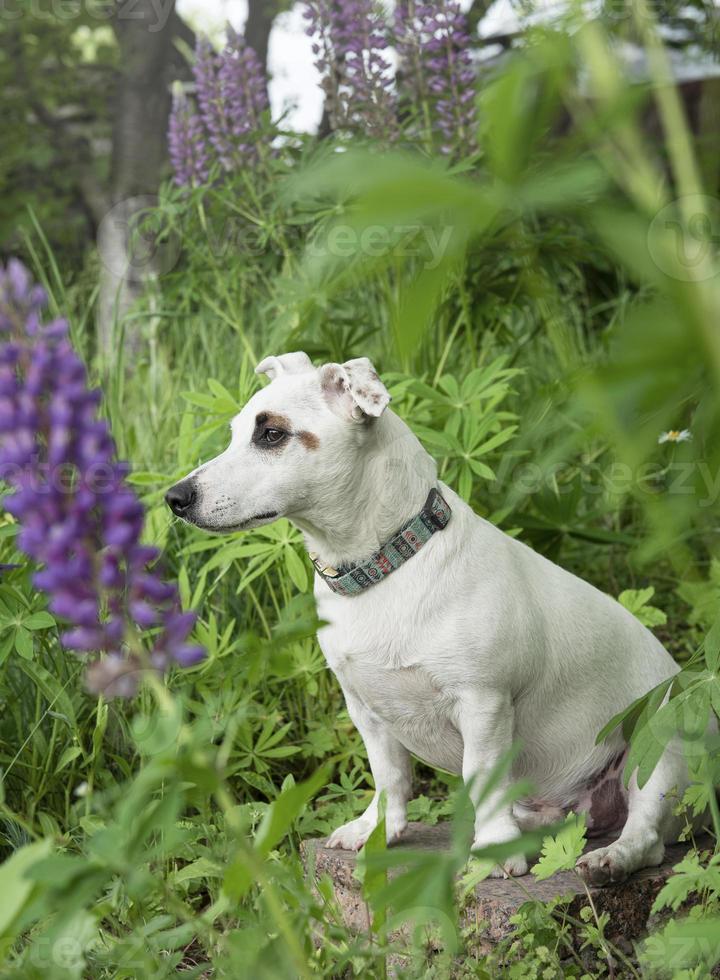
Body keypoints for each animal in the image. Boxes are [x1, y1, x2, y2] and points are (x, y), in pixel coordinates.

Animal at [167, 350, 692, 880]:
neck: (384, 567)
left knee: (647, 835)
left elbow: (482, 775)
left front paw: (494, 847)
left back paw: (610, 858)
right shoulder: (366, 708)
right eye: (234, 432)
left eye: (272, 434)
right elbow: (389, 776)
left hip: (657, 746)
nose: (174, 498)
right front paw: (378, 829)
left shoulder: (483, 704)